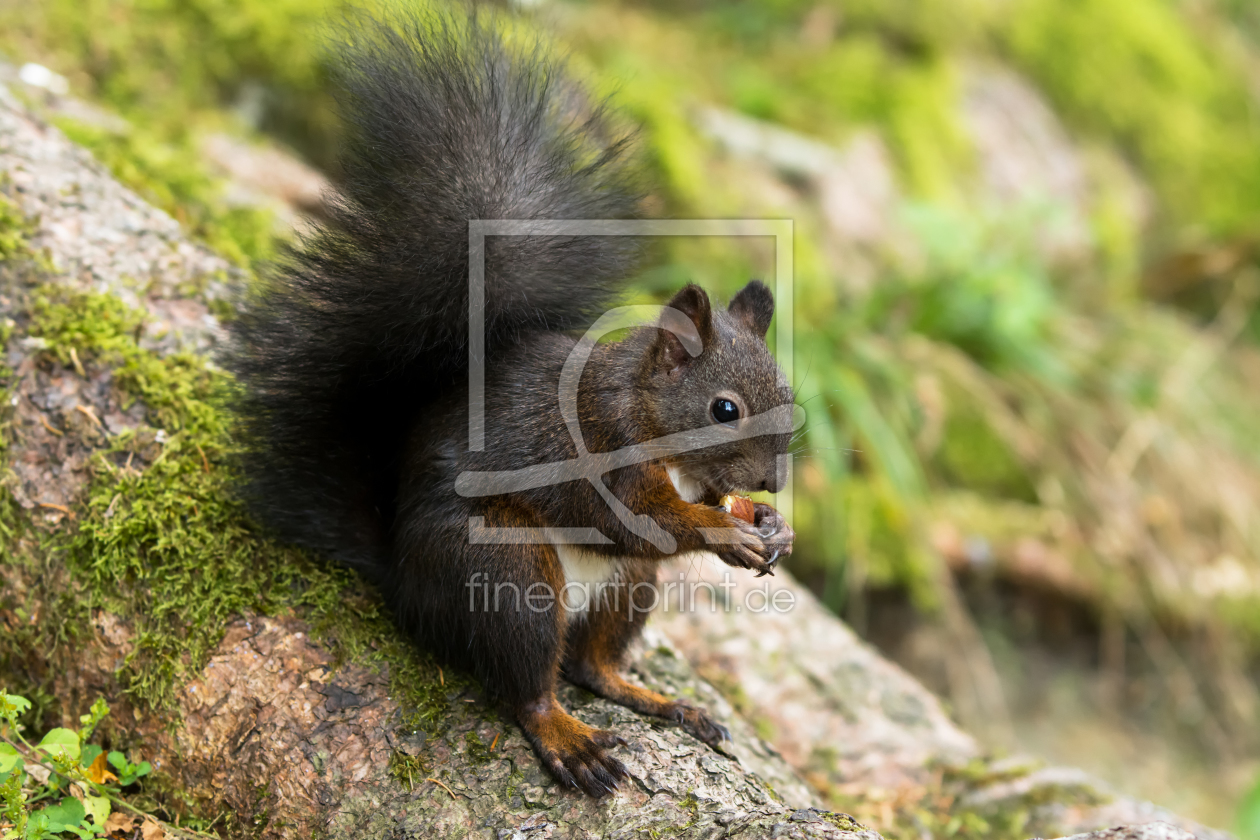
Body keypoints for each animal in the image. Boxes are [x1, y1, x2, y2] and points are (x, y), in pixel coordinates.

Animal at [228, 13, 796, 800]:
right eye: (723, 409)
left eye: (789, 398)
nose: (772, 481)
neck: (651, 419)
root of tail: (405, 583)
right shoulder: (598, 448)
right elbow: (646, 518)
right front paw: (726, 531)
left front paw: (767, 525)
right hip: (508, 574)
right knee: (530, 686)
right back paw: (571, 741)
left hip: (625, 589)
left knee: (591, 665)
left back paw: (661, 700)